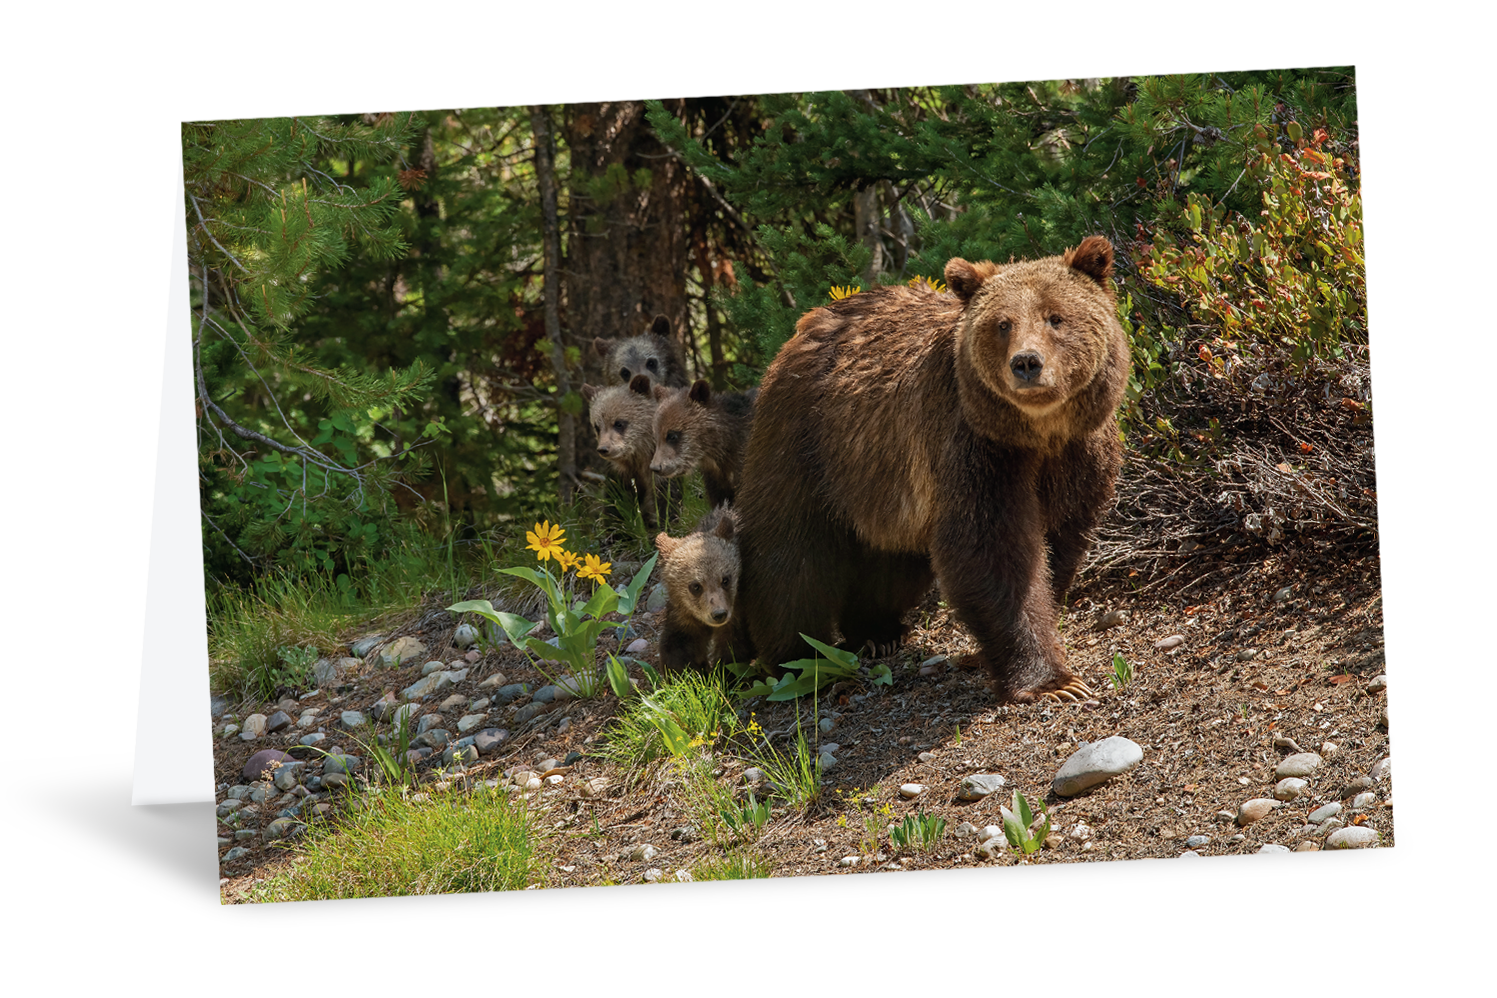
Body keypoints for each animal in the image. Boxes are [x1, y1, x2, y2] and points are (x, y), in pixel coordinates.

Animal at [653, 504, 749, 672]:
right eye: (696, 586)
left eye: (725, 579)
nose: (719, 614)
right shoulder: (684, 615)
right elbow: (678, 646)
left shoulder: (737, 611)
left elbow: (734, 648)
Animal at [731, 235, 1129, 704]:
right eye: (1002, 324)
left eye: (1056, 317)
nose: (1027, 363)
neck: (1039, 433)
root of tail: (806, 323)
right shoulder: (975, 449)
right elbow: (992, 549)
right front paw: (1052, 682)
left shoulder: (1079, 454)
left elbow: (1060, 537)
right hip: (807, 443)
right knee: (790, 554)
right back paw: (797, 659)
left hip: (881, 478)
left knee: (891, 559)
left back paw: (876, 630)